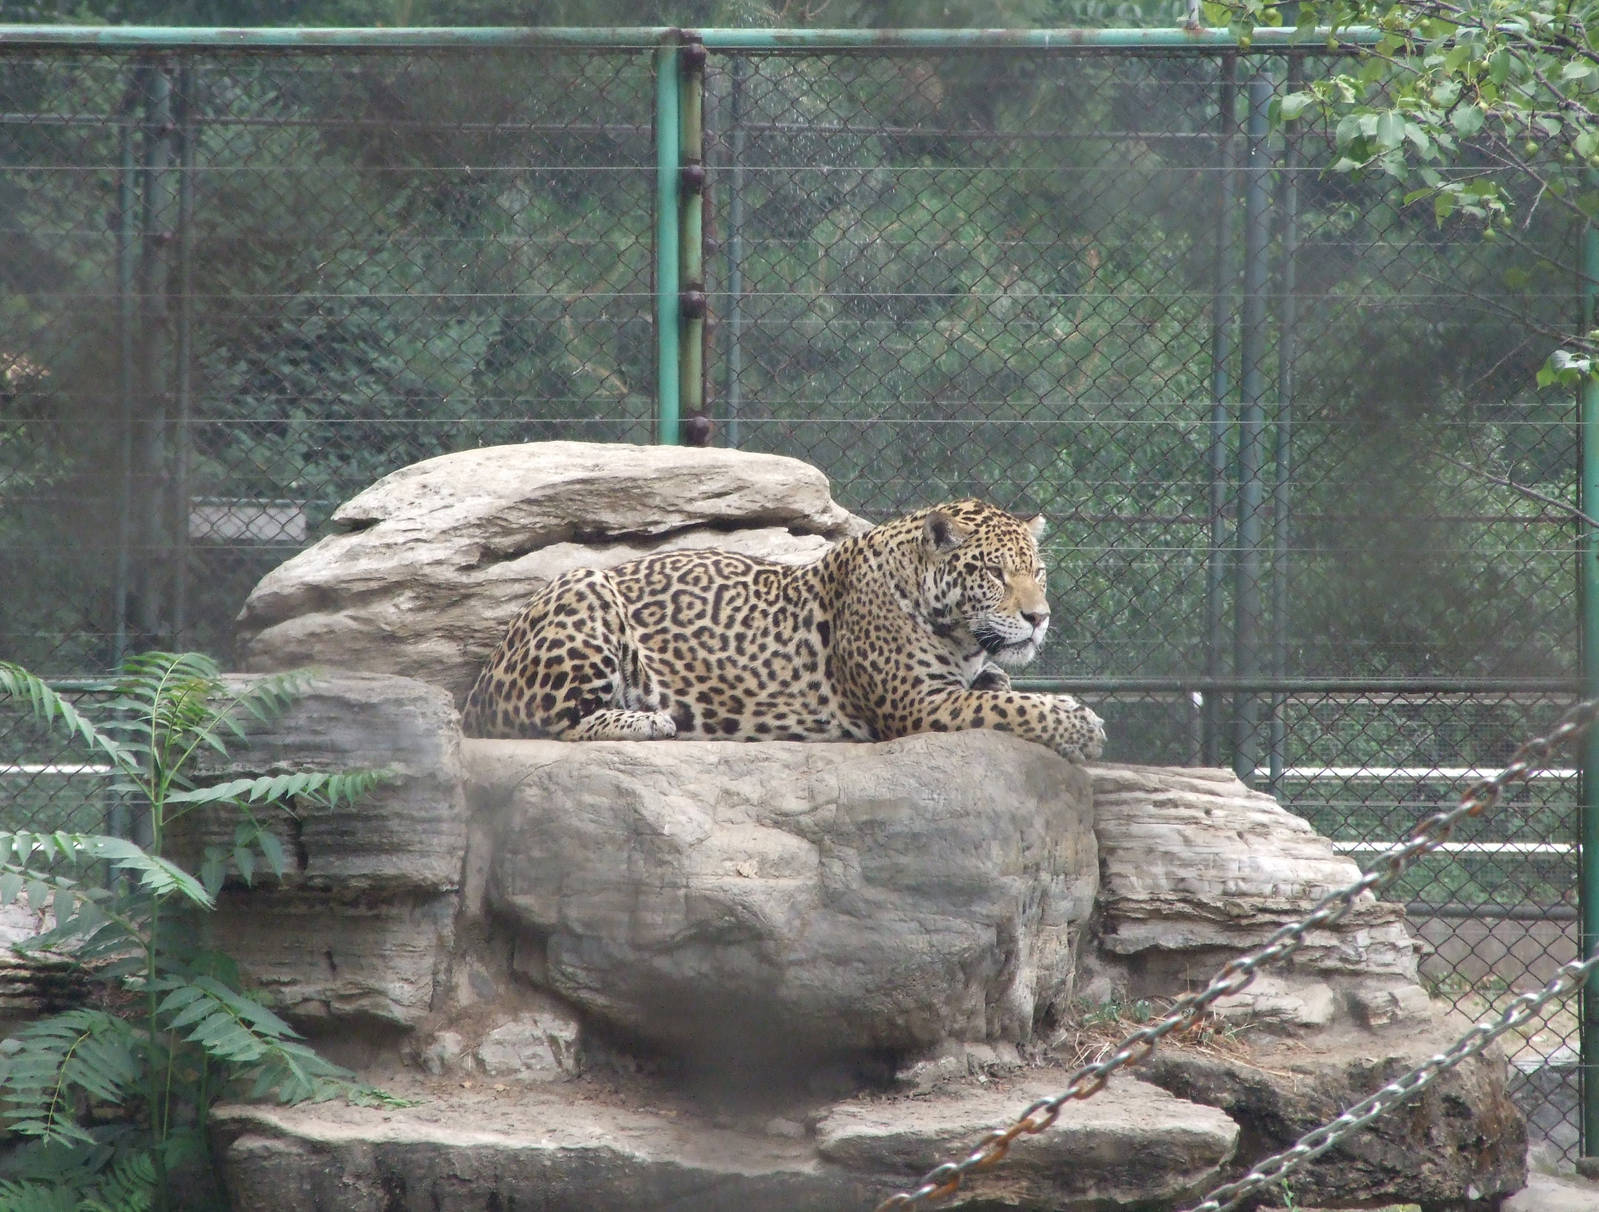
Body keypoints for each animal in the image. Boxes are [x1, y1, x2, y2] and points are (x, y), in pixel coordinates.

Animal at [460, 498, 1106, 763]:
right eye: (994, 573)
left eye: (1037, 571)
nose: (1039, 617)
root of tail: (480, 684)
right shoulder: (920, 703)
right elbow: (1012, 709)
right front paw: (1082, 726)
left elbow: (1001, 689)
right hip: (586, 588)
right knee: (547, 727)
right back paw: (648, 720)